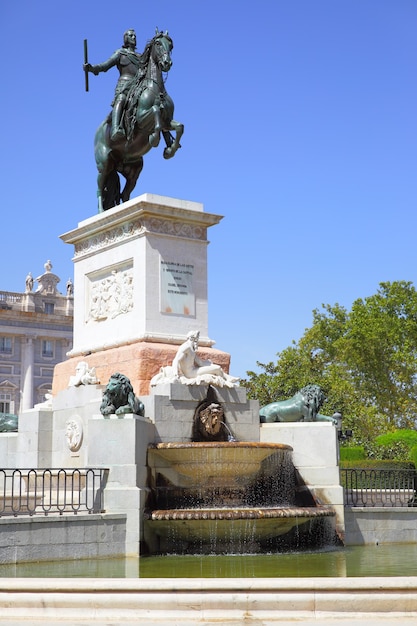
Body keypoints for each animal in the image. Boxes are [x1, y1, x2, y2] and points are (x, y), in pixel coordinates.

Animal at [93, 31, 183, 212]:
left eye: (170, 45)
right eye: (158, 44)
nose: (167, 63)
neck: (155, 88)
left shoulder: (168, 121)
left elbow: (179, 127)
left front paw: (170, 150)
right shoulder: (140, 120)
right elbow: (155, 111)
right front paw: (154, 138)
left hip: (133, 170)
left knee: (124, 194)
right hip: (104, 165)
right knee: (99, 188)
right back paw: (101, 212)